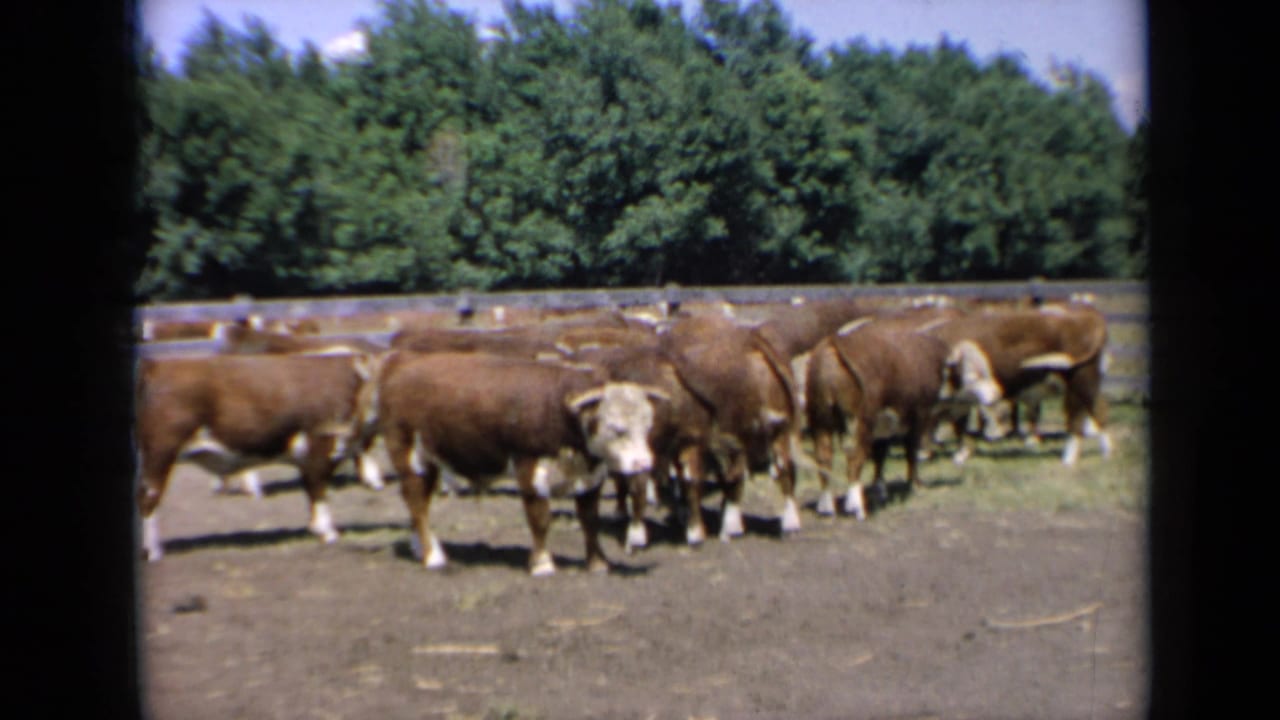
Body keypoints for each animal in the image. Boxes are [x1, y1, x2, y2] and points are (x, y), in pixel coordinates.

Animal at [134, 353, 383, 561]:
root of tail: (156, 365)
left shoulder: (307, 458)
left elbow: (312, 490)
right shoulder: (319, 449)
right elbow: (319, 489)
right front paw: (328, 532)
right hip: (160, 452)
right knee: (149, 498)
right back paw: (154, 552)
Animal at [376, 351, 670, 576]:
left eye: (647, 425)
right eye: (617, 429)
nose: (643, 463)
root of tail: (401, 360)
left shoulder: (591, 476)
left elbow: (590, 521)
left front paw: (598, 563)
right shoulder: (531, 469)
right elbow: (540, 520)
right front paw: (542, 564)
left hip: (430, 460)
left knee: (419, 503)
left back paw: (421, 547)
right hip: (408, 455)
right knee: (417, 504)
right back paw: (432, 556)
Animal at [656, 315, 802, 542]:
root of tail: (749, 340)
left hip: (734, 434)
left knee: (734, 475)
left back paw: (729, 527)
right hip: (779, 430)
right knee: (785, 469)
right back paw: (790, 524)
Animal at [805, 323, 983, 519]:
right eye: (963, 373)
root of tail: (833, 342)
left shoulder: (884, 426)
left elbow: (880, 455)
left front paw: (880, 489)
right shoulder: (918, 417)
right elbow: (911, 451)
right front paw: (915, 484)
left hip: (820, 421)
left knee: (823, 457)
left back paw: (826, 507)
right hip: (859, 421)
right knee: (853, 458)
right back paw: (857, 507)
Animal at [926, 302, 1112, 466]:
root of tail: (1087, 314)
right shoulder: (959, 400)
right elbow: (958, 425)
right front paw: (961, 454)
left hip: (1083, 379)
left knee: (1092, 412)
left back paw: (1086, 457)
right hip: (1078, 385)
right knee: (1087, 412)